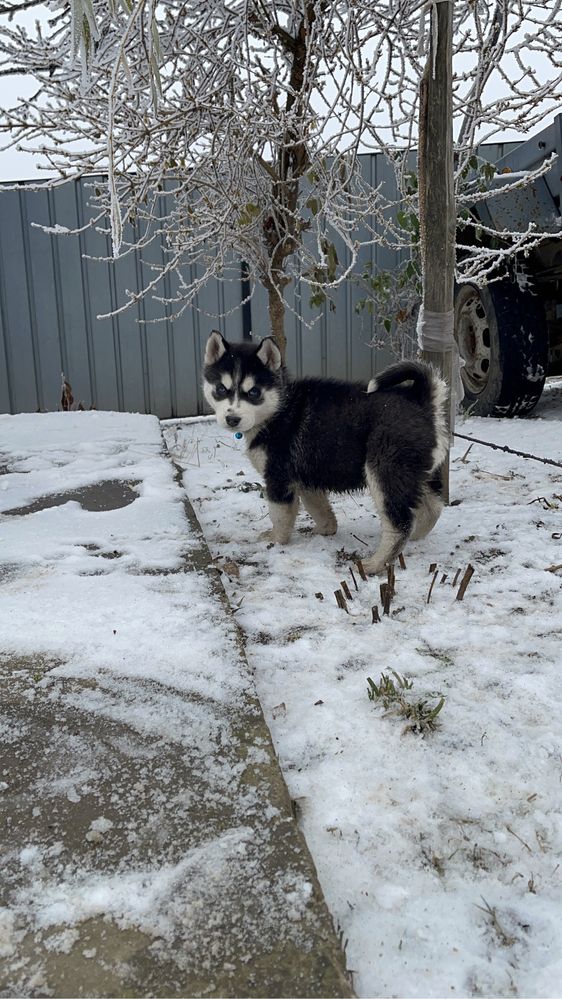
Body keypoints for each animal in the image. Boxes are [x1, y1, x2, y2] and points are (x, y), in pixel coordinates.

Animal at [202, 332, 446, 576]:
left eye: (253, 392)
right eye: (221, 389)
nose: (232, 419)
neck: (280, 409)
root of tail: (421, 400)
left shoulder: (279, 477)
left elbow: (279, 514)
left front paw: (276, 540)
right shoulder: (306, 474)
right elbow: (318, 507)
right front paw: (327, 529)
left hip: (384, 471)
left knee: (400, 522)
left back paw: (376, 563)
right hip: (417, 472)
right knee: (433, 507)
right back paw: (415, 537)